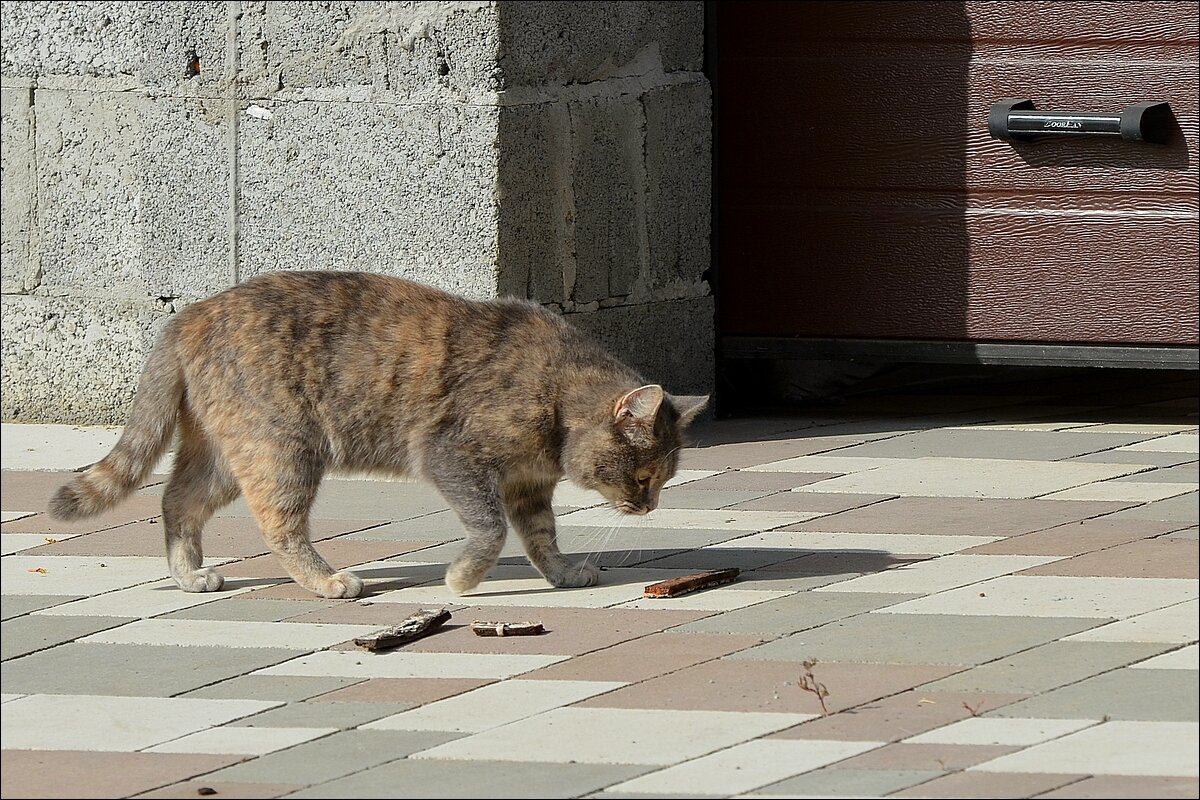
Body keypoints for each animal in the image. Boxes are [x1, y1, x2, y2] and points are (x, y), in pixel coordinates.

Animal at [51, 272, 705, 597]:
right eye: (645, 475)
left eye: (662, 480)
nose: (649, 506)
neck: (558, 395)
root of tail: (188, 314)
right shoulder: (450, 456)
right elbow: (490, 531)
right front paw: (461, 580)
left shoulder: (526, 487)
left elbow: (542, 538)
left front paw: (564, 574)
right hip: (282, 449)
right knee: (278, 526)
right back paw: (327, 580)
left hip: (225, 456)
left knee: (175, 500)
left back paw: (189, 576)